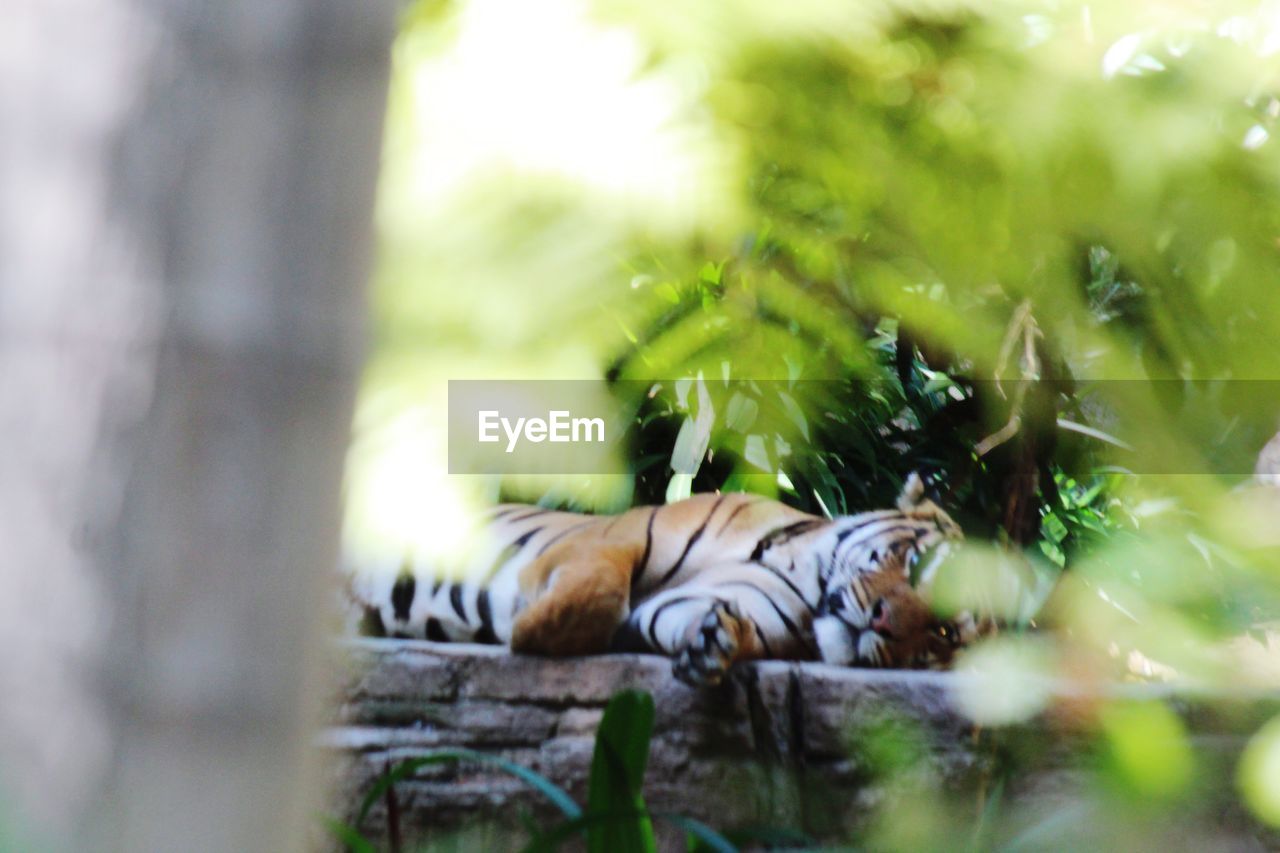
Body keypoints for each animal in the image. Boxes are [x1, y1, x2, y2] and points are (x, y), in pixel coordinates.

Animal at [350, 471, 967, 686]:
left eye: (944, 634)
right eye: (914, 565)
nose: (885, 624)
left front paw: (714, 642)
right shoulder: (610, 539)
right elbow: (598, 591)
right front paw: (527, 627)